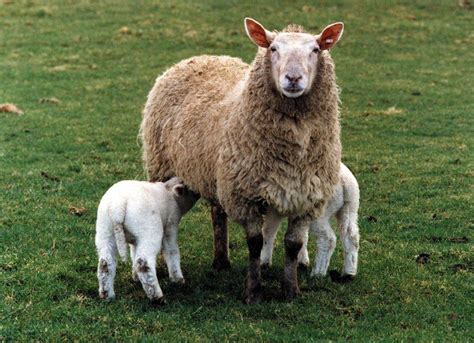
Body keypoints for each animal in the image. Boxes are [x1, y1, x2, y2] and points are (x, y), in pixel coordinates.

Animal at [141, 18, 344, 304]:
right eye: (273, 49)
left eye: (315, 50)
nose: (293, 78)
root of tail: (202, 57)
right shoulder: (244, 195)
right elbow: (255, 244)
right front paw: (253, 291)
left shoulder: (306, 197)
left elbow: (293, 245)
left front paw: (291, 289)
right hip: (163, 167)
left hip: (216, 173)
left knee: (217, 213)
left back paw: (221, 261)